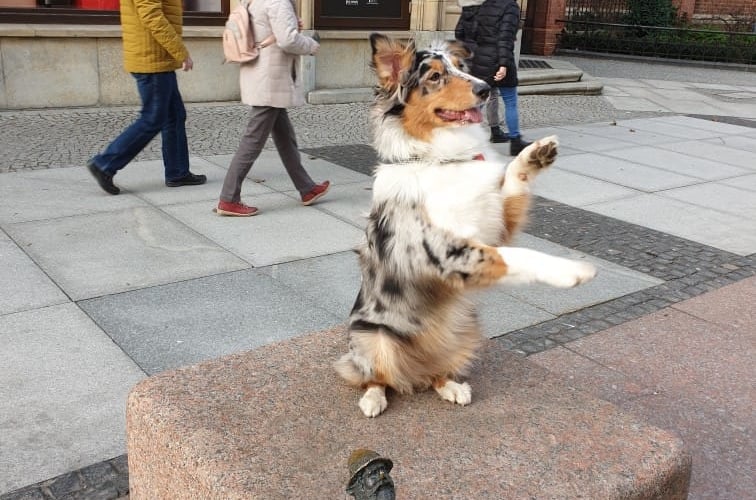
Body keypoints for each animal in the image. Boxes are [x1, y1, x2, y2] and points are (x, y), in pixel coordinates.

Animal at [334, 34, 600, 418]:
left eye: (461, 67)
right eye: (434, 76)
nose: (486, 88)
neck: (442, 159)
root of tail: (412, 372)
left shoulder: (495, 225)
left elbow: (512, 182)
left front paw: (534, 154)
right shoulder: (444, 251)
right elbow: (519, 255)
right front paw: (570, 271)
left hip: (465, 329)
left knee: (435, 372)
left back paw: (449, 385)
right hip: (372, 337)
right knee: (375, 375)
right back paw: (374, 397)